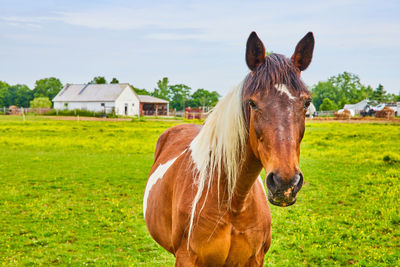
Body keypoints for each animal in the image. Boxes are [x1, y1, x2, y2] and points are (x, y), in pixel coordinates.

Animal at [142, 30, 314, 266]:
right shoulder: (186, 258)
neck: (233, 202)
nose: (285, 183)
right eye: (252, 103)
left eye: (306, 103)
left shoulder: (255, 259)